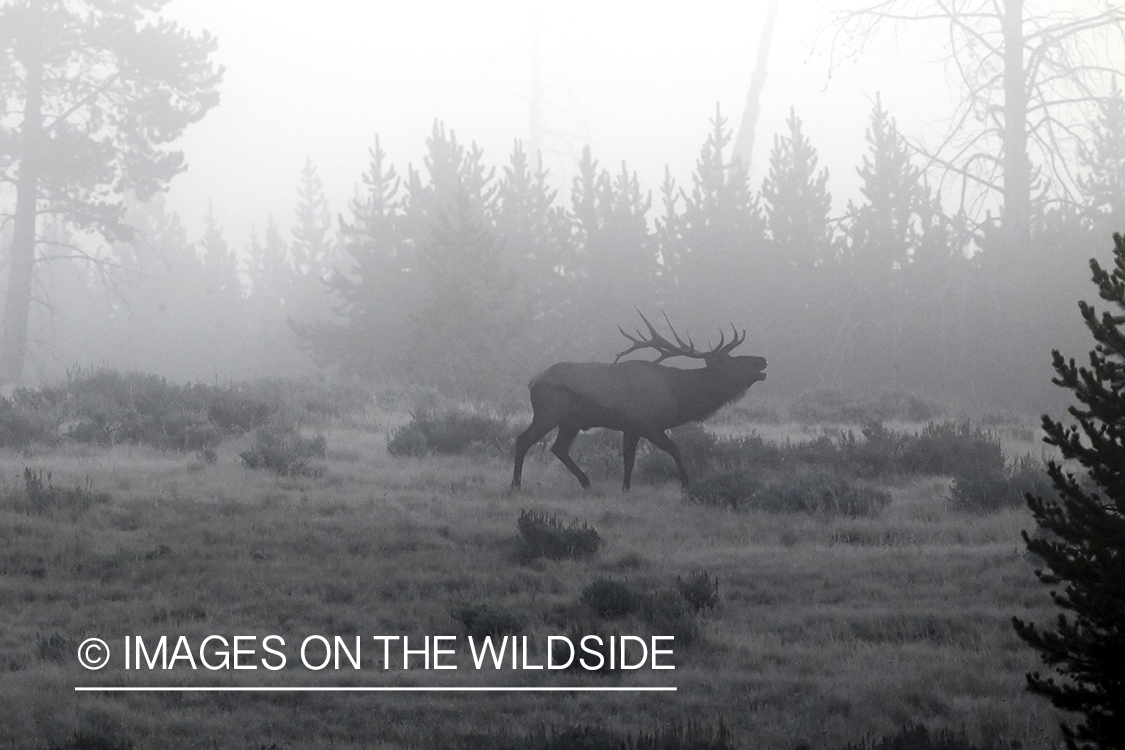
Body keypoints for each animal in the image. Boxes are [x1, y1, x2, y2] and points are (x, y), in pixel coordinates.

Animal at [510, 312, 765, 492]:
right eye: (731, 362)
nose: (762, 360)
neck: (679, 396)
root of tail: (532, 381)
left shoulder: (631, 428)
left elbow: (629, 459)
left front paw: (625, 488)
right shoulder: (648, 424)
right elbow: (674, 450)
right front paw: (686, 485)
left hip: (570, 422)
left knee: (558, 448)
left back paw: (586, 482)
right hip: (548, 414)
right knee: (524, 440)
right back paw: (516, 484)